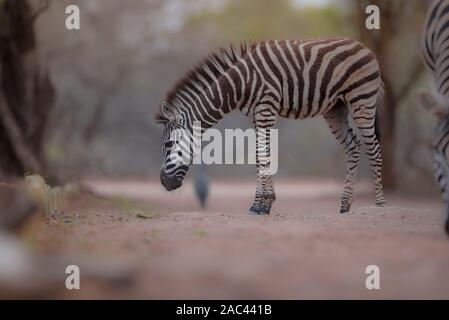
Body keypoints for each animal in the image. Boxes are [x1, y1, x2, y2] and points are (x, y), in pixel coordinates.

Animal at [157, 37, 384, 215]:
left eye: (168, 144)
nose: (163, 182)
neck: (240, 84)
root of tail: (364, 47)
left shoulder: (266, 107)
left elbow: (262, 153)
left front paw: (261, 204)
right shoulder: (255, 114)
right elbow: (259, 156)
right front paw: (262, 204)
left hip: (361, 99)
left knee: (373, 148)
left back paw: (380, 204)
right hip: (335, 109)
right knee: (353, 146)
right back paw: (345, 206)